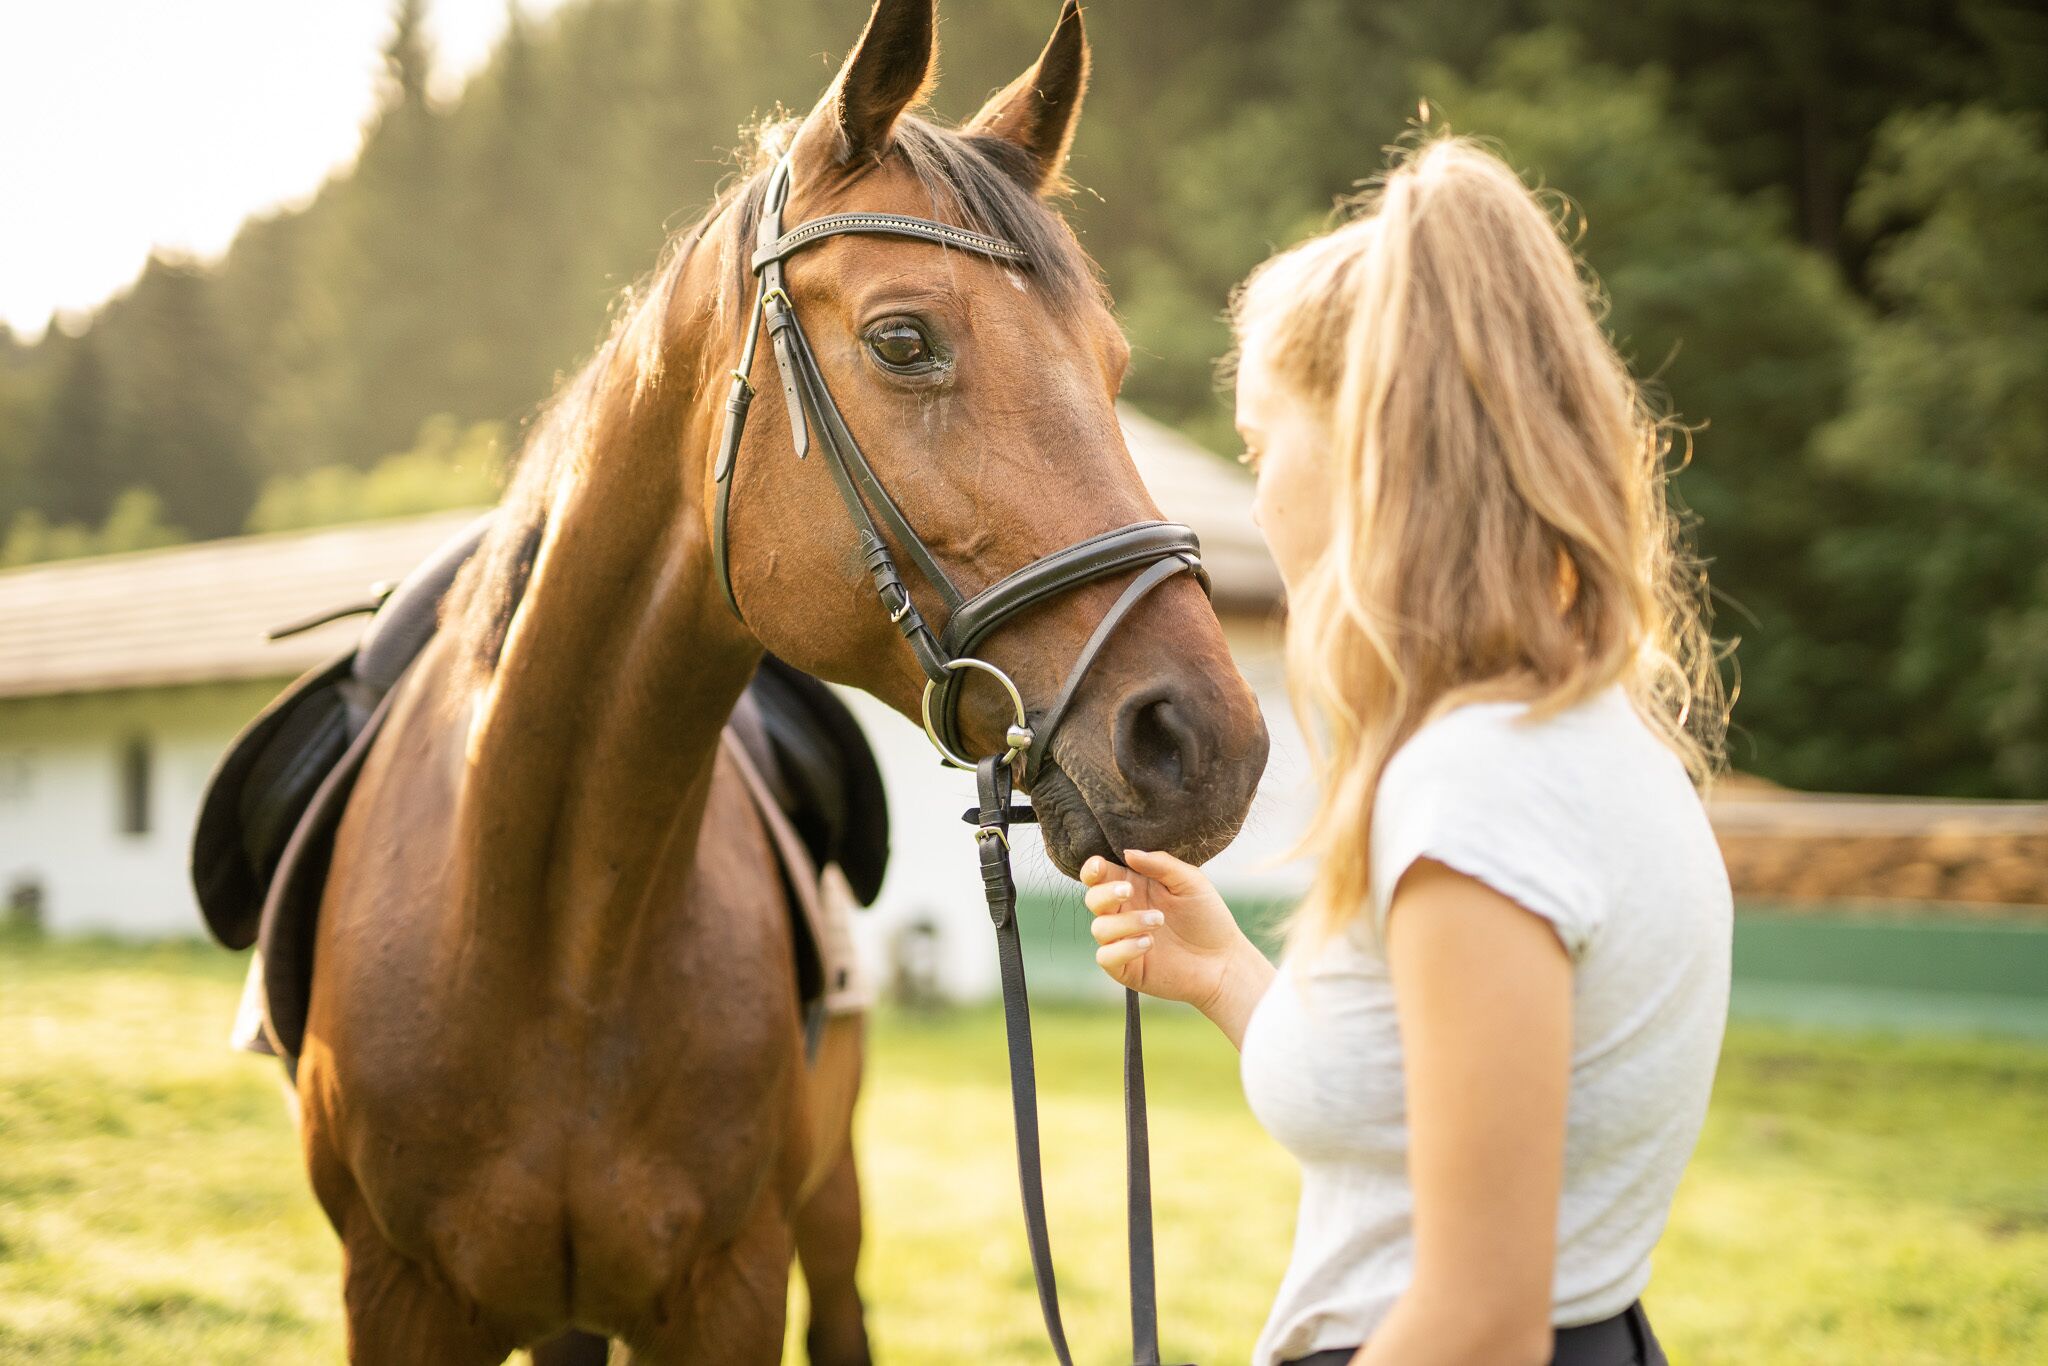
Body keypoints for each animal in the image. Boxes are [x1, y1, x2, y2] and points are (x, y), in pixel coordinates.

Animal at [294, 2, 1269, 1361]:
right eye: (903, 340)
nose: (1204, 742)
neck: (553, 940)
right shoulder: (399, 1296)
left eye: (1113, 364)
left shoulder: (729, 1286)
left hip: (830, 1204)